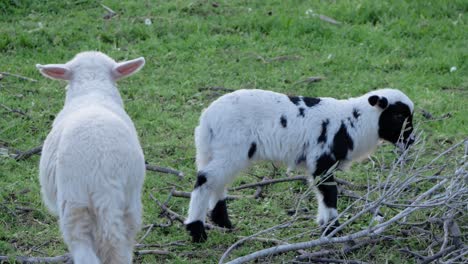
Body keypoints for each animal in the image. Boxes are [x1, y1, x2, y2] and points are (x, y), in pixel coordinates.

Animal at [37, 51, 145, 264]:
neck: (92, 91)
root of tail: (104, 176)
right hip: (129, 202)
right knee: (122, 248)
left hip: (74, 203)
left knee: (83, 249)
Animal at [185, 88, 414, 241]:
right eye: (398, 115)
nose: (411, 140)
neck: (353, 123)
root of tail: (207, 118)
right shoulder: (321, 161)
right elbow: (330, 194)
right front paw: (332, 230)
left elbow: (323, 195)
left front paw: (325, 226)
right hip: (231, 149)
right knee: (205, 179)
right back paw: (197, 231)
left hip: (217, 151)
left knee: (217, 182)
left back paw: (223, 222)